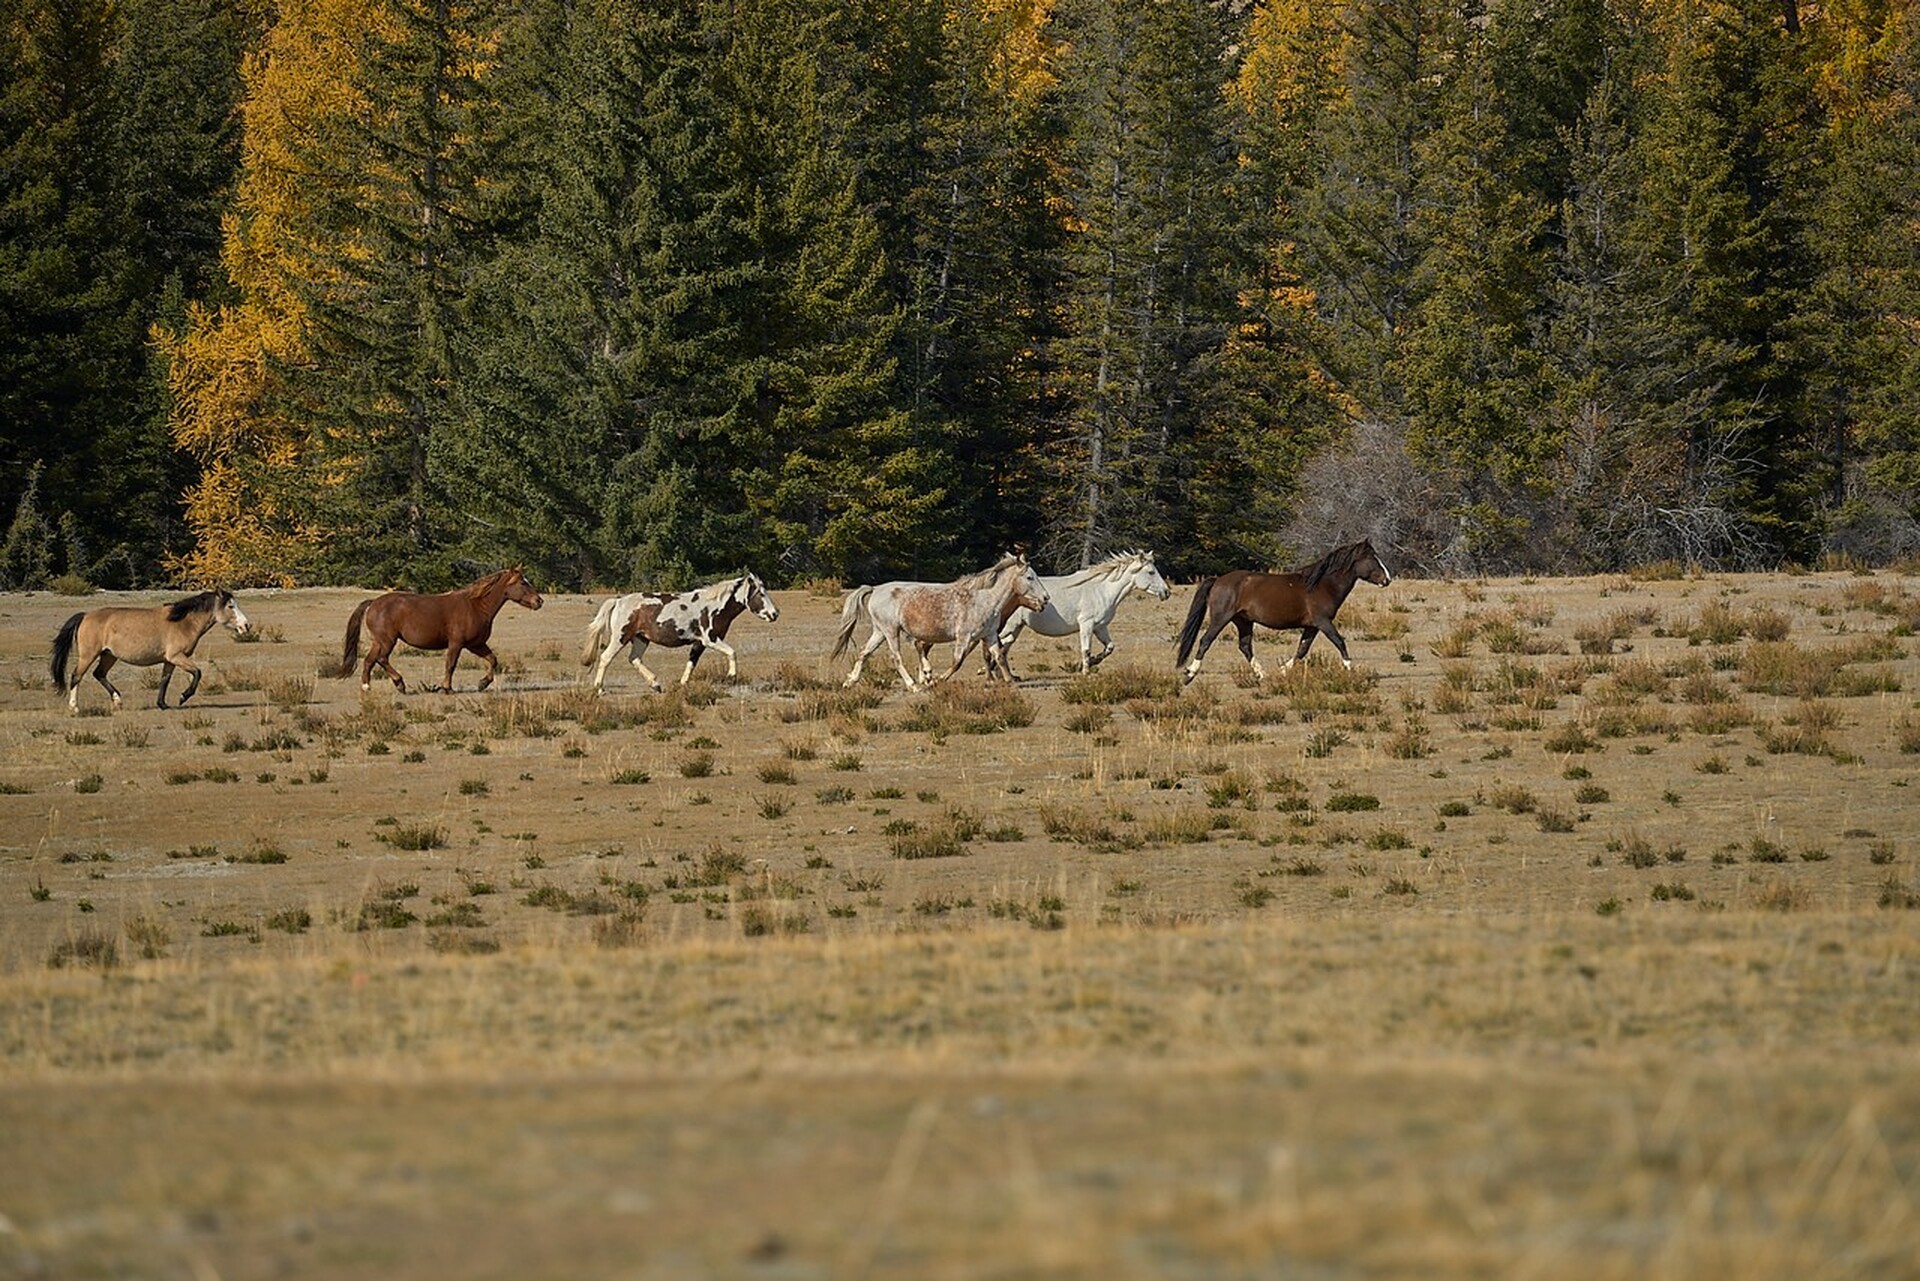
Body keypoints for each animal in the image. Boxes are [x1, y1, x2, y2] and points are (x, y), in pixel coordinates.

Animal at [51, 591, 253, 710]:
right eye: (230, 606)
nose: (246, 625)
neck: (183, 622)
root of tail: (85, 615)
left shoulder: (169, 660)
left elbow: (164, 681)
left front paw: (162, 704)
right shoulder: (177, 656)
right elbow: (197, 672)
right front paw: (183, 697)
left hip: (109, 655)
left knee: (99, 674)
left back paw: (117, 700)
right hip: (88, 655)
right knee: (76, 676)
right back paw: (74, 706)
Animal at [334, 568, 545, 695]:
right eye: (523, 583)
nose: (539, 601)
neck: (476, 606)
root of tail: (373, 603)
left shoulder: (476, 644)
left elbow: (492, 660)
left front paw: (483, 683)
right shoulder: (457, 644)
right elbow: (450, 665)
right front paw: (447, 688)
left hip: (380, 642)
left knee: (371, 660)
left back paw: (371, 686)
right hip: (386, 641)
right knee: (379, 659)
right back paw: (396, 684)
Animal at [833, 553, 1052, 691]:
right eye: (1030, 577)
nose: (1046, 598)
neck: (985, 600)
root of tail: (876, 589)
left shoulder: (989, 635)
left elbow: (998, 656)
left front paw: (1008, 680)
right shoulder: (964, 637)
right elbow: (957, 662)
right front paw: (936, 680)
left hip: (879, 632)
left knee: (864, 653)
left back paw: (850, 682)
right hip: (891, 631)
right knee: (896, 658)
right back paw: (914, 685)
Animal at [990, 553, 1167, 679]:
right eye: (1151, 572)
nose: (1166, 592)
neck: (1101, 590)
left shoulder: (1100, 627)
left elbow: (1109, 647)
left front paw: (1095, 661)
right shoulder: (1086, 624)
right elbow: (1086, 649)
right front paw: (1086, 672)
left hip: (1015, 629)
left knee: (1004, 648)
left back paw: (1004, 675)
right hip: (1007, 628)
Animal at [1167, 537, 1397, 687]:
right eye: (1372, 558)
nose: (1387, 579)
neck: (1322, 585)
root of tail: (1218, 580)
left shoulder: (1312, 626)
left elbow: (1302, 650)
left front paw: (1282, 670)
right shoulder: (1323, 622)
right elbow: (1339, 642)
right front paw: (1350, 670)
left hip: (1243, 621)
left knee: (1245, 646)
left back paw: (1262, 675)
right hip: (1220, 619)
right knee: (1205, 641)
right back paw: (1189, 675)